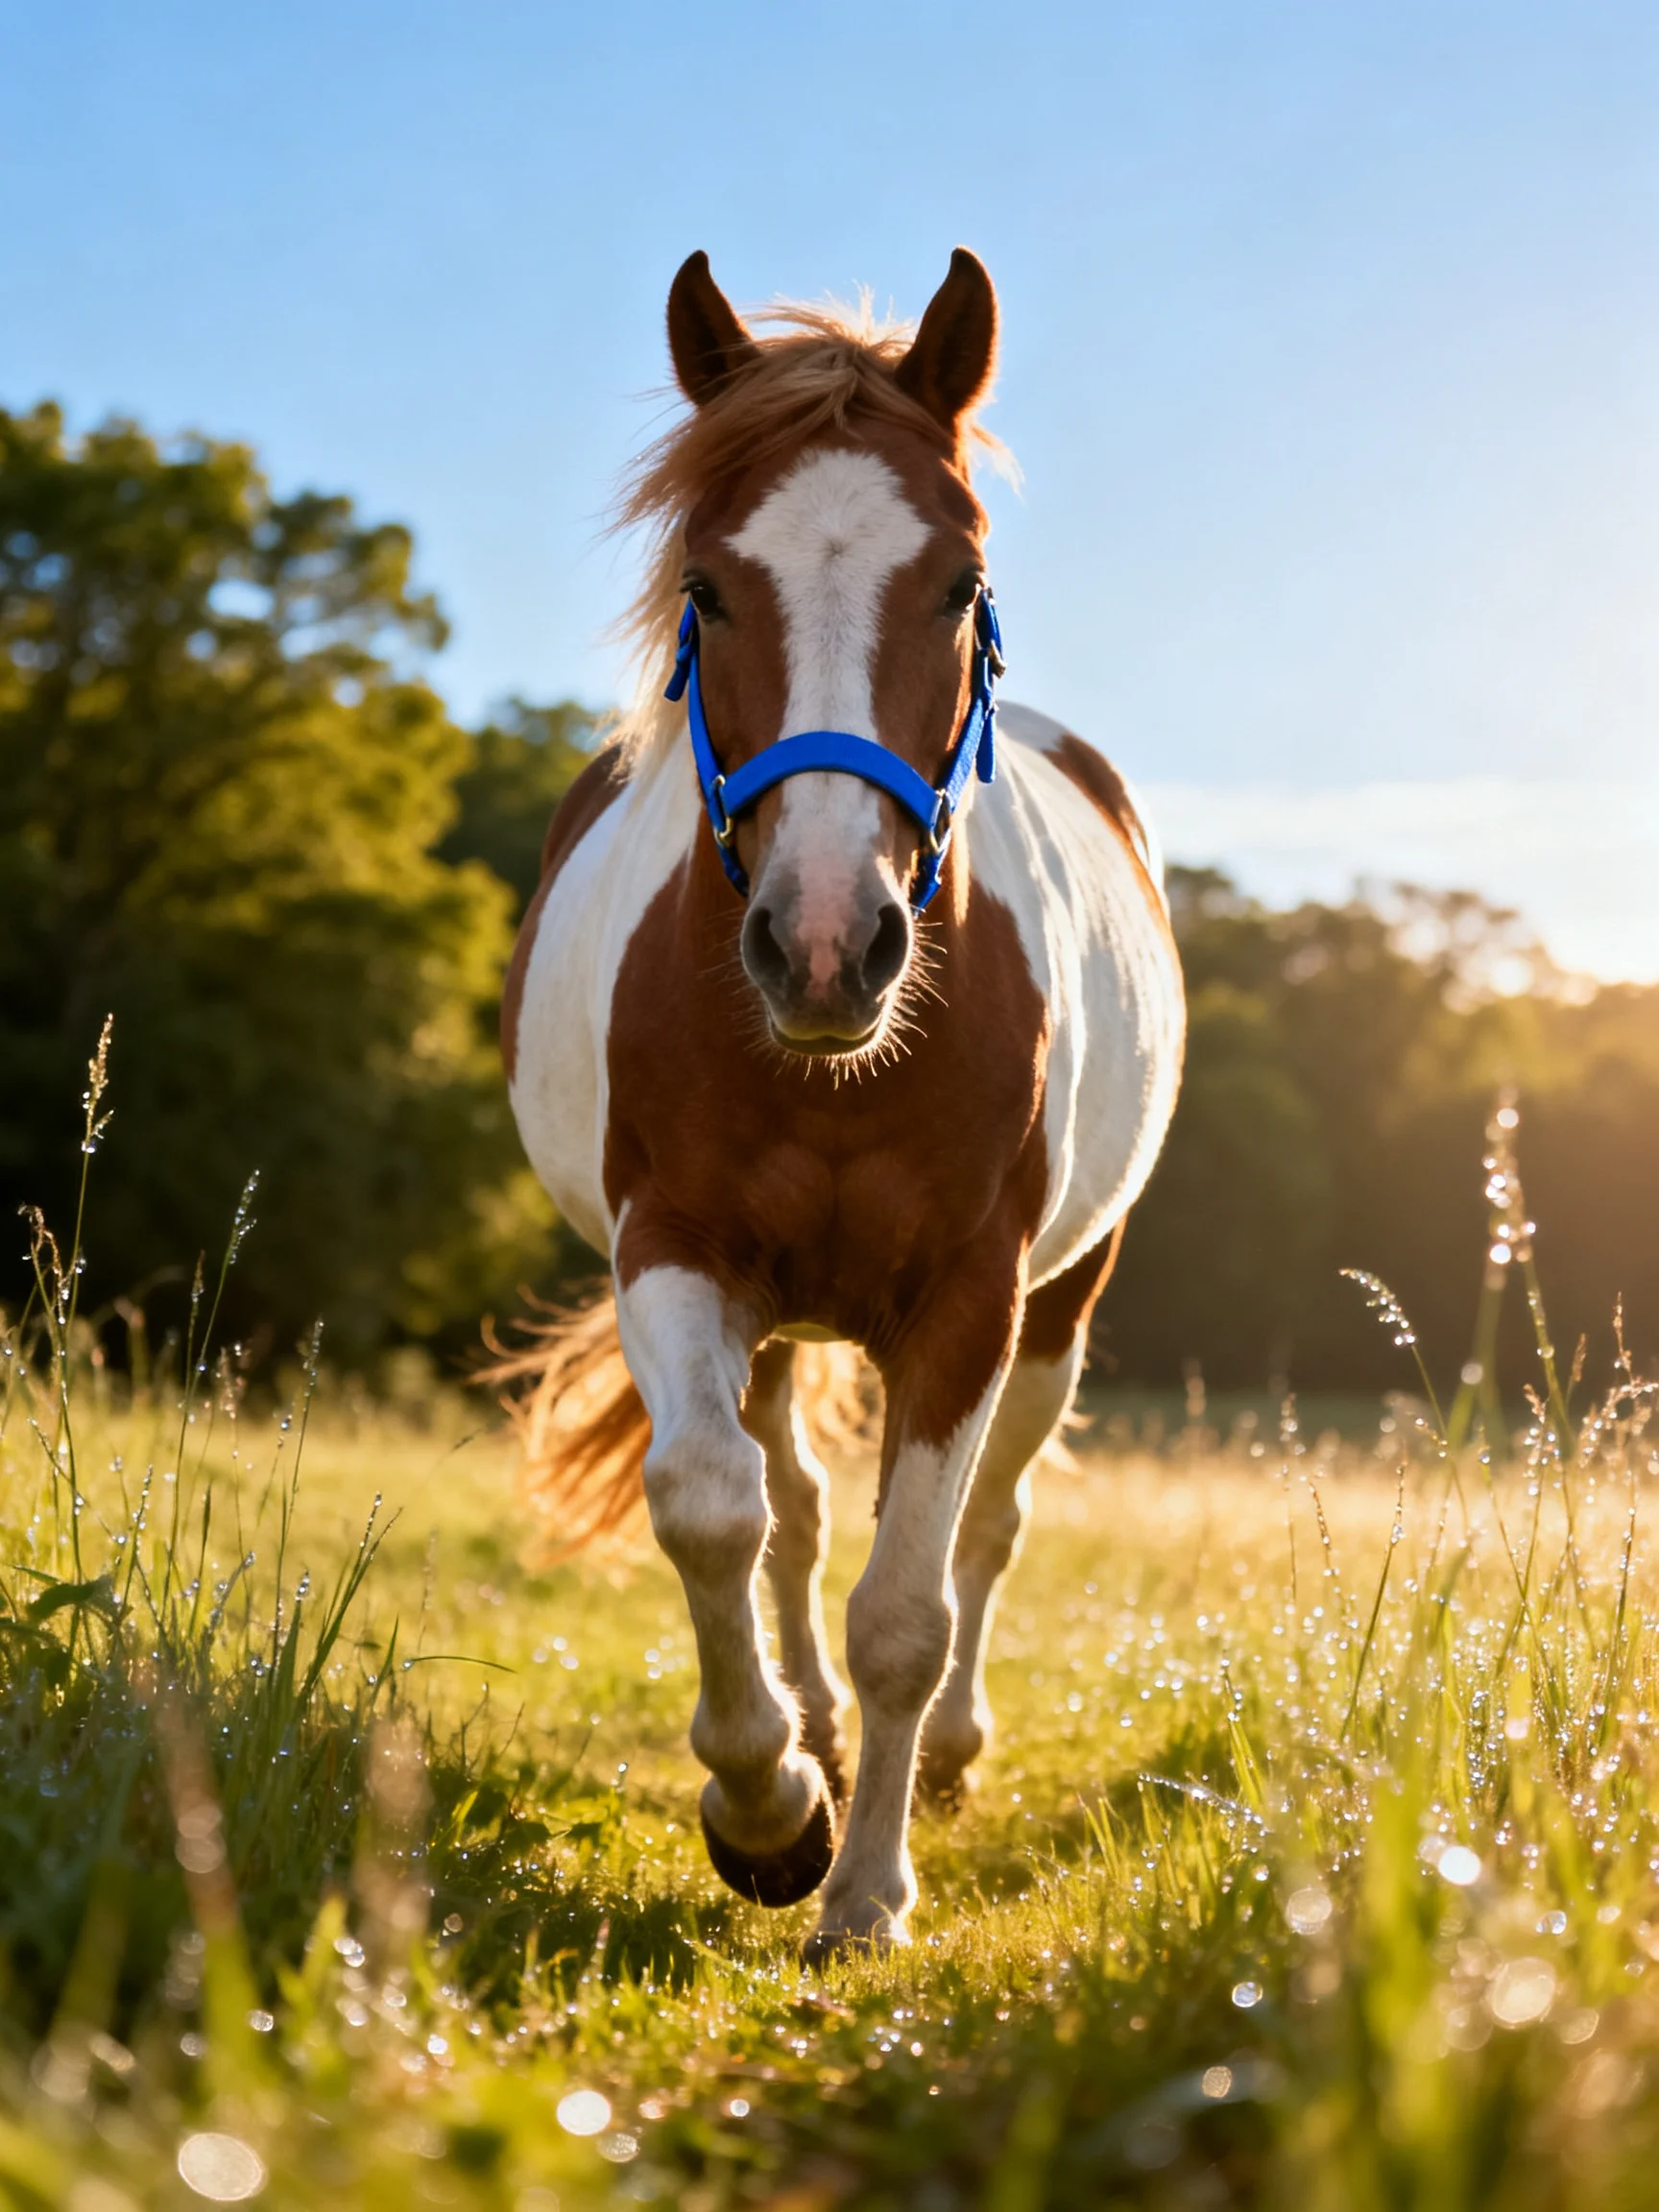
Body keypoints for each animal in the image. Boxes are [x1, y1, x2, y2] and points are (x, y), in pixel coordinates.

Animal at [498, 247, 1185, 1959]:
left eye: (958, 584)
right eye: (707, 588)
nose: (824, 943)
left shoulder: (971, 1300)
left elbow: (909, 1611)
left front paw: (868, 1890)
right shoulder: (676, 1253)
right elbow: (711, 1510)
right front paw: (767, 1811)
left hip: (1062, 1302)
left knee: (989, 1524)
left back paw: (943, 1758)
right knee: (791, 1506)